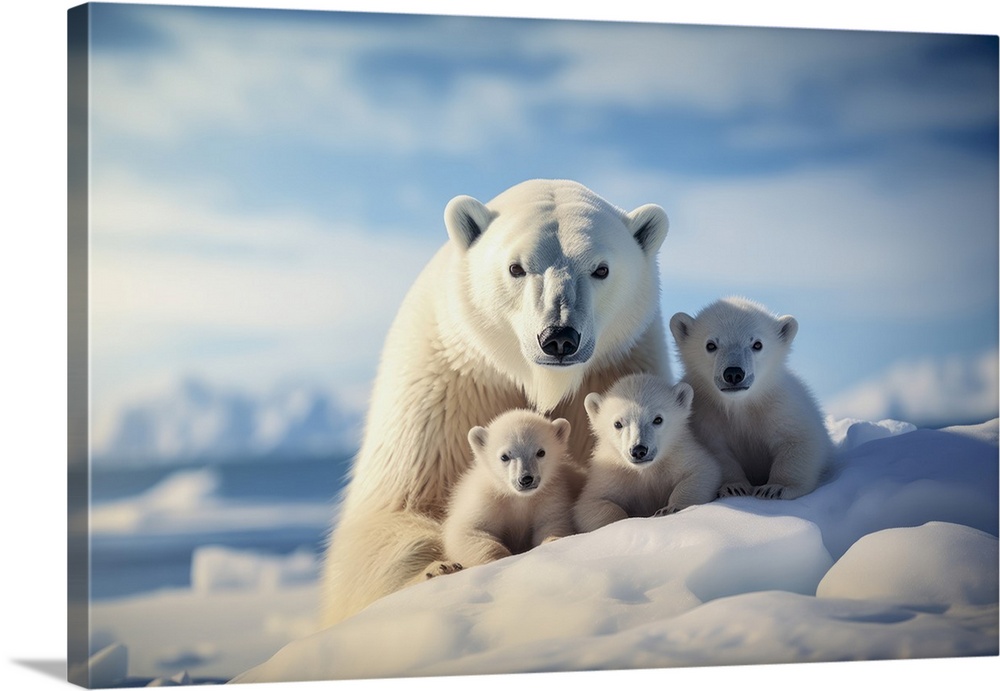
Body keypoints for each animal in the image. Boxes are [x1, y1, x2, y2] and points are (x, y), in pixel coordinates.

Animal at [440, 408, 576, 572]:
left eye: (541, 452)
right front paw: (501, 560)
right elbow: (466, 531)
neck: (519, 498)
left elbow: (552, 523)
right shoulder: (486, 498)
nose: (526, 479)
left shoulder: (550, 495)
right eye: (504, 456)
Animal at [576, 374, 724, 528]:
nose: (638, 450)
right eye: (617, 423)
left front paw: (667, 510)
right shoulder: (611, 473)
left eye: (658, 419)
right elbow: (591, 503)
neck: (645, 470)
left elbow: (703, 472)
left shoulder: (679, 455)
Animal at [668, 294, 832, 500]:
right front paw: (734, 487)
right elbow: (718, 454)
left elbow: (798, 441)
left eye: (757, 344)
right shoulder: (707, 414)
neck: (740, 404)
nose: (734, 373)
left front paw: (775, 488)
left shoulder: (780, 406)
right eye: (710, 345)